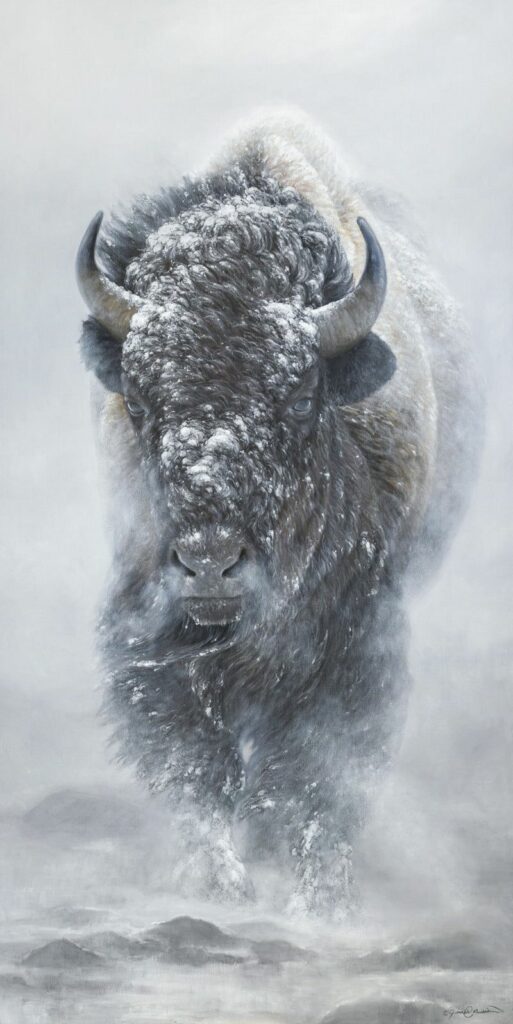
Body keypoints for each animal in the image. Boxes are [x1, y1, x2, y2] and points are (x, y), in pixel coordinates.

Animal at [76, 111, 481, 915]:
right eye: (138, 401)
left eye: (296, 397)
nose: (208, 563)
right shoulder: (149, 635)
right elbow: (194, 768)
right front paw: (215, 883)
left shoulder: (358, 642)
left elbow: (316, 778)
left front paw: (320, 900)